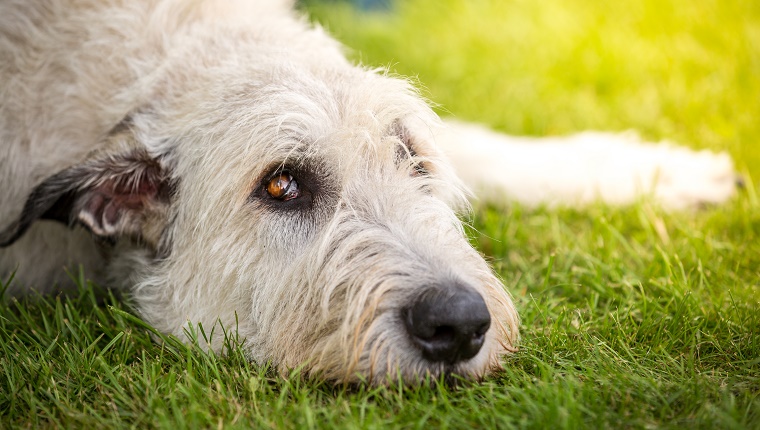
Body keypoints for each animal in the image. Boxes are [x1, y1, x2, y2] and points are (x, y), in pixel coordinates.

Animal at [0, 0, 736, 382]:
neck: (173, 65)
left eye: (410, 159)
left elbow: (486, 150)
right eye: (283, 185)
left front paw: (655, 171)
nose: (459, 323)